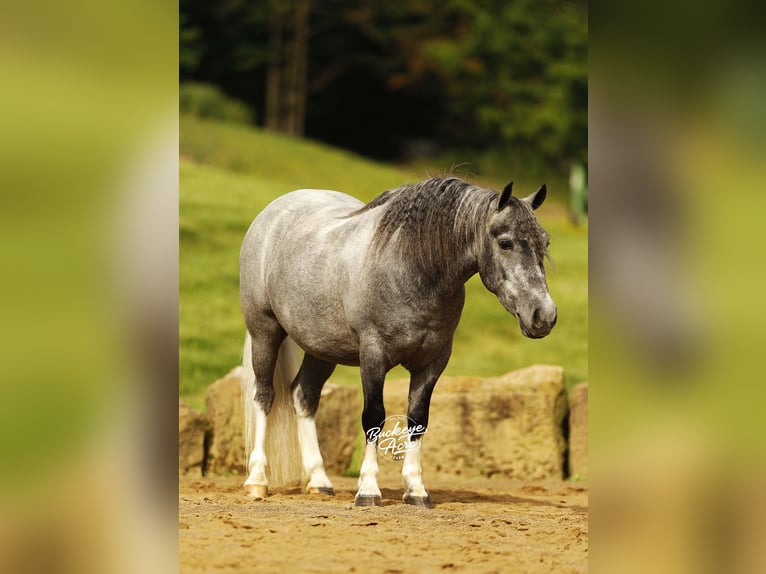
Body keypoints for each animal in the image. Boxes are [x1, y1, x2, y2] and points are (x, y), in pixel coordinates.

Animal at [239, 176, 556, 508]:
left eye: (544, 243)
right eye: (505, 242)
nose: (544, 315)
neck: (411, 268)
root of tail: (272, 213)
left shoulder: (432, 363)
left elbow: (417, 420)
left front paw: (416, 490)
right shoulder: (373, 356)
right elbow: (374, 417)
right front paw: (368, 490)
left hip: (323, 349)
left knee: (304, 395)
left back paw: (319, 481)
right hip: (265, 331)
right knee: (264, 395)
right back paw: (257, 481)